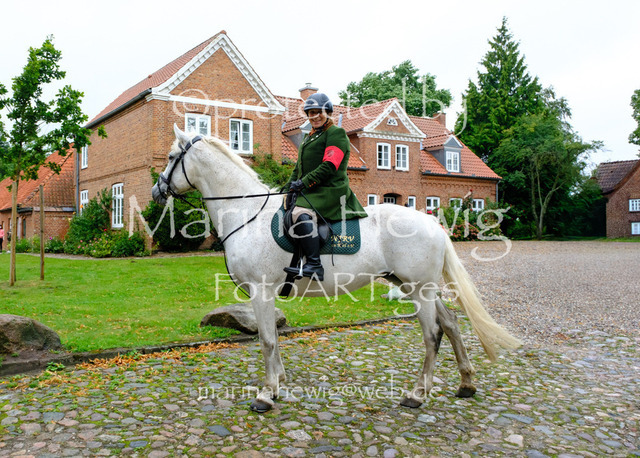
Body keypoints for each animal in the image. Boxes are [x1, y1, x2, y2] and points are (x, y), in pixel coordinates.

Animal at [152, 125, 522, 413]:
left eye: (170, 158)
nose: (156, 191)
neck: (246, 213)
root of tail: (432, 223)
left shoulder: (261, 292)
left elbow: (267, 340)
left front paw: (266, 395)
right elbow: (274, 339)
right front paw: (279, 384)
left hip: (419, 290)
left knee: (432, 334)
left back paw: (417, 395)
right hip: (414, 286)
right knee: (452, 324)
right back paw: (466, 384)